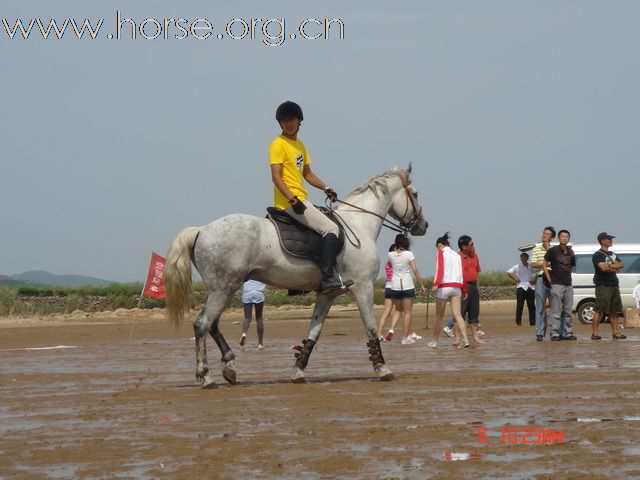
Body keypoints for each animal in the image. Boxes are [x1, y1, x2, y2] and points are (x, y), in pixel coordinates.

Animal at [166, 164, 424, 386]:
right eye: (415, 193)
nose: (424, 226)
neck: (359, 224)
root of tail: (201, 230)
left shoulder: (327, 294)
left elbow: (314, 331)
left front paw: (298, 370)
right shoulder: (363, 286)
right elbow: (371, 328)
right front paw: (383, 369)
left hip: (224, 288)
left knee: (212, 324)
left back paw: (229, 366)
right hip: (223, 288)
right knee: (202, 324)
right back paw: (206, 376)